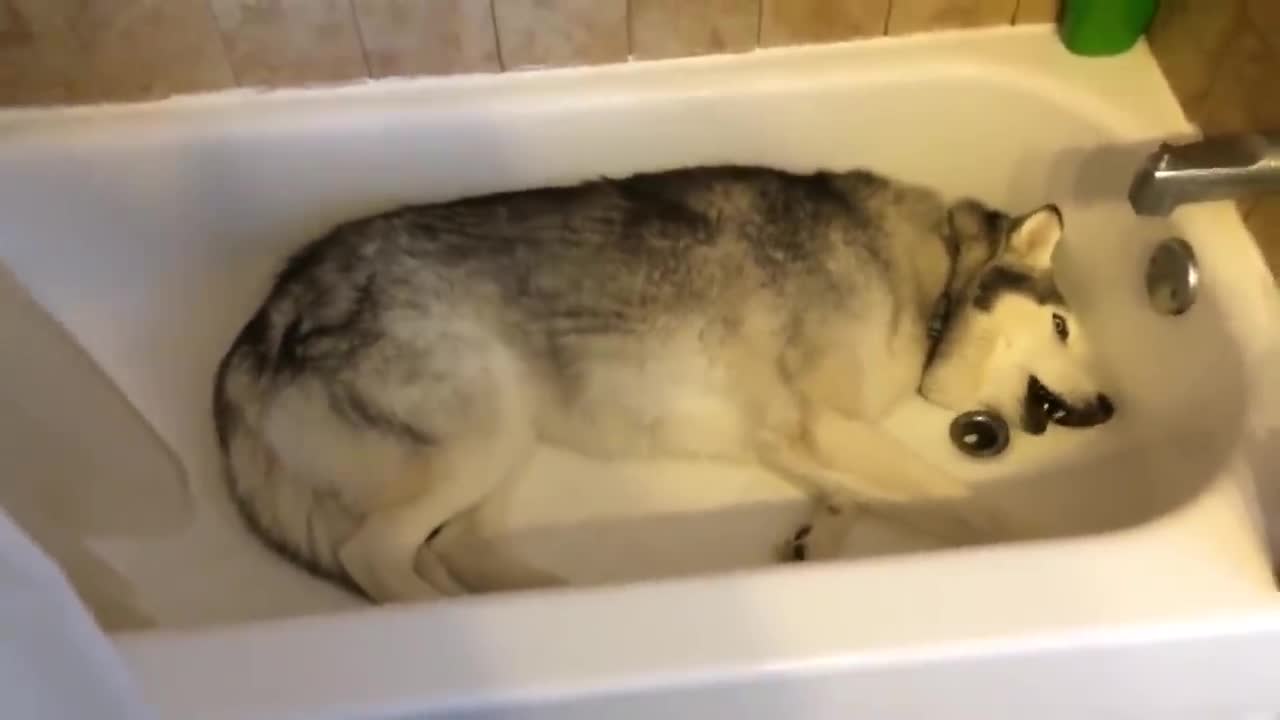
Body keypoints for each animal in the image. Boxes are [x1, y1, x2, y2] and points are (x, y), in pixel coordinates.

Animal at [212, 163, 1111, 599]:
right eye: (1064, 328)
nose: (1104, 409)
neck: (931, 284)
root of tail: (263, 320)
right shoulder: (823, 425)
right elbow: (968, 502)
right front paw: (1033, 545)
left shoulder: (793, 437)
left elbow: (860, 496)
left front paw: (821, 534)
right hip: (481, 436)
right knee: (376, 558)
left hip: (506, 444)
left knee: (454, 549)